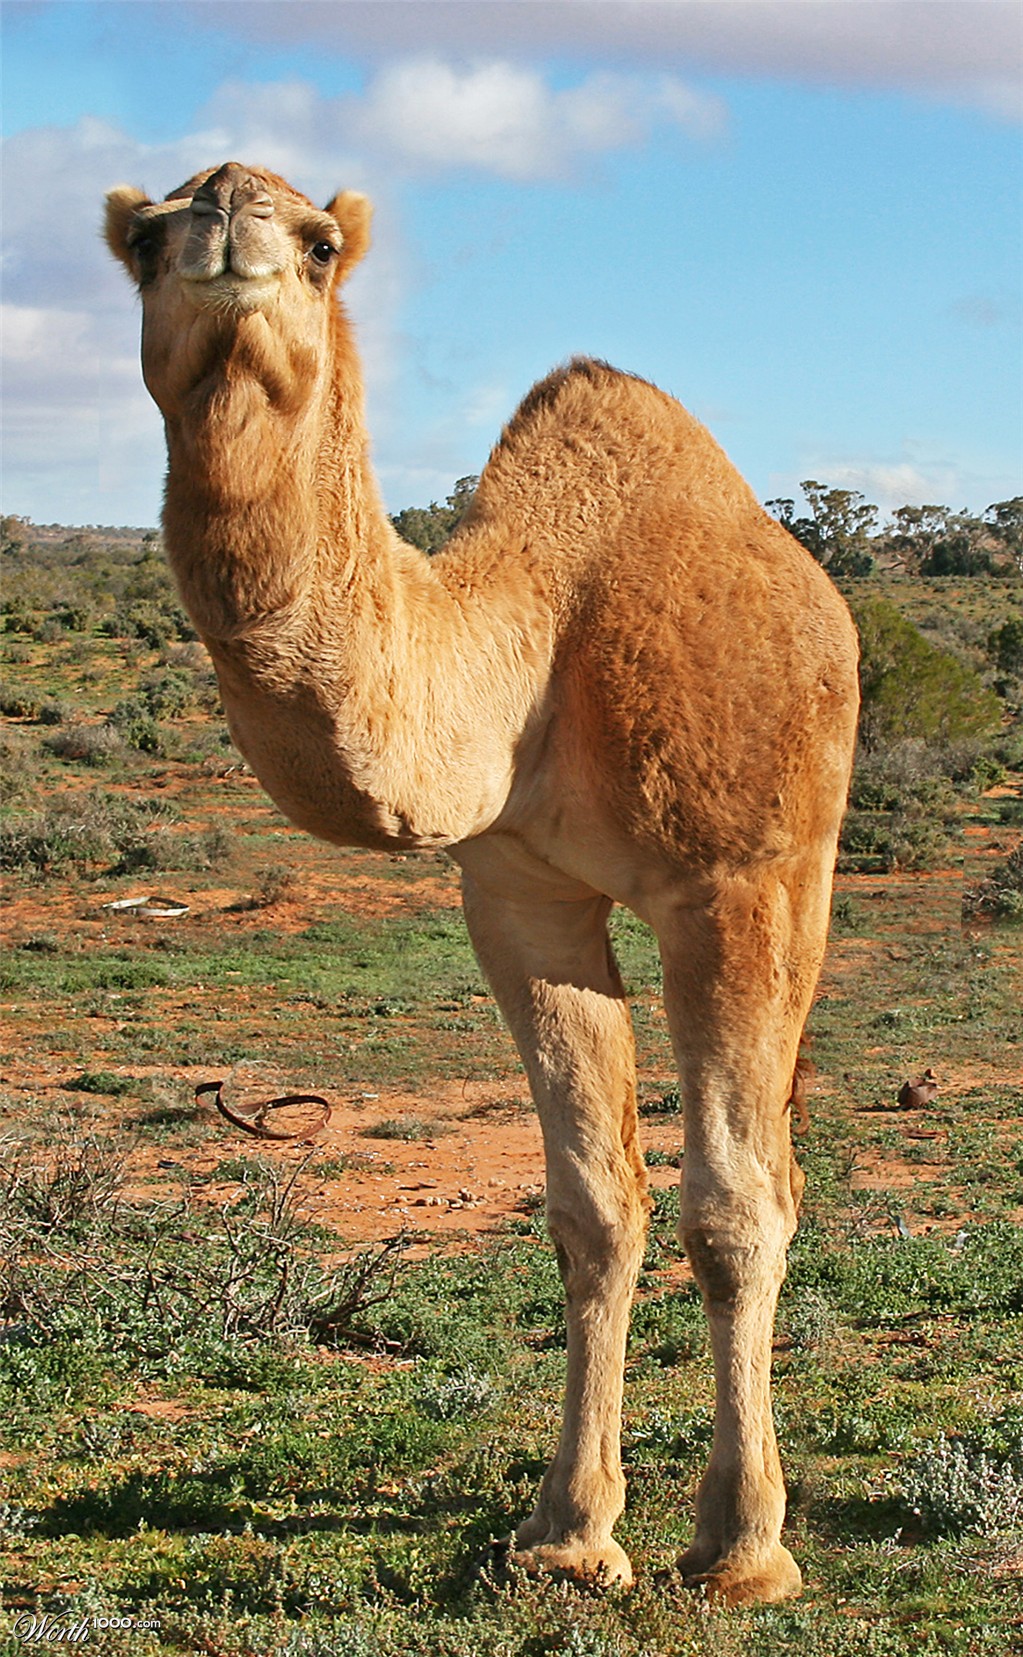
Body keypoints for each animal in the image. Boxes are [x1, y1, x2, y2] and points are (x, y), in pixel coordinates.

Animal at [105, 161, 859, 1606]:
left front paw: (742, 1550)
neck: (528, 653)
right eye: (145, 238)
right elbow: (593, 1207)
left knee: (773, 1170)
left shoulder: (725, 880)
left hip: (800, 865)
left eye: (322, 244)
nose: (227, 219)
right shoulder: (517, 894)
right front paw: (568, 1534)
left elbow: (732, 1208)